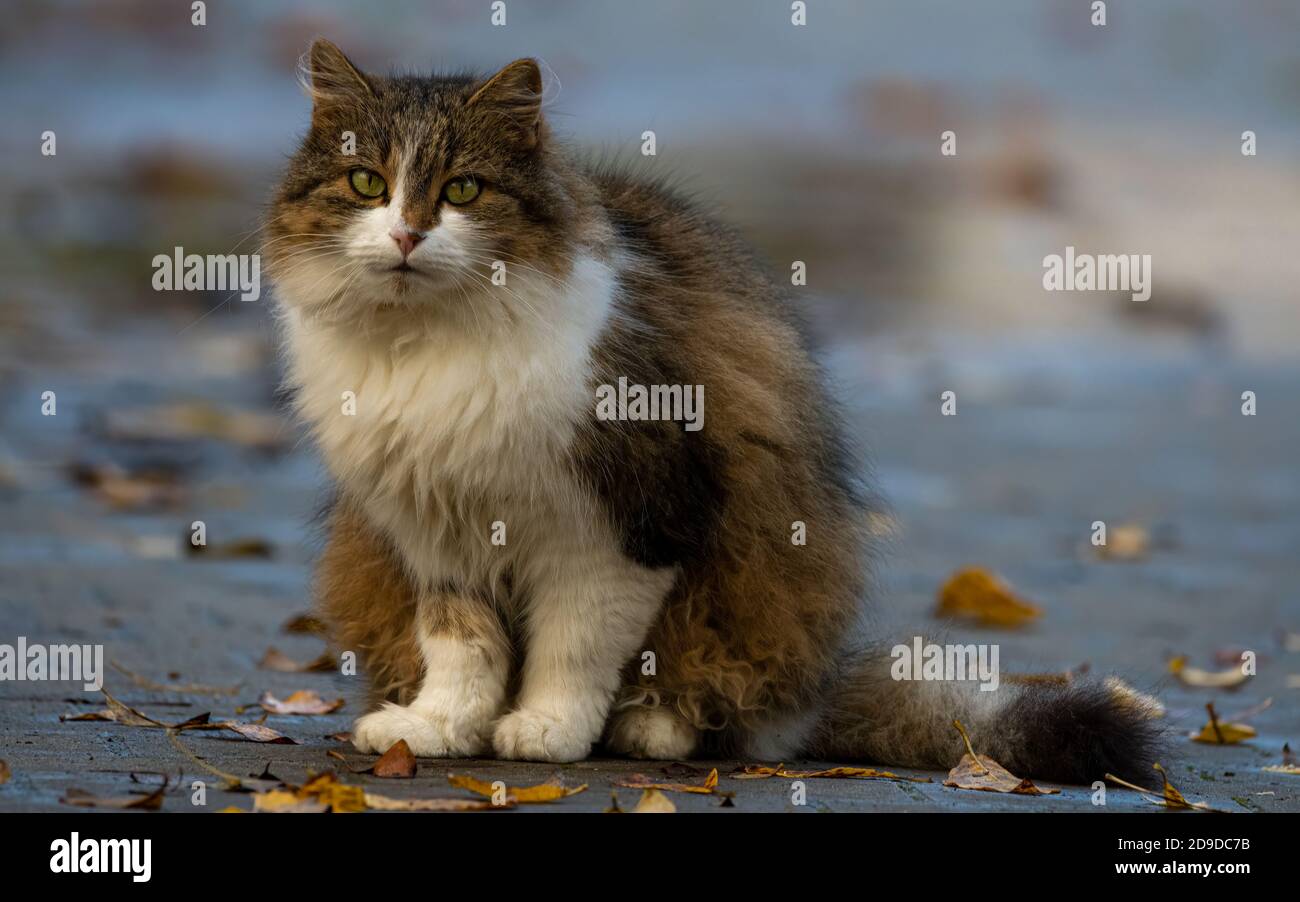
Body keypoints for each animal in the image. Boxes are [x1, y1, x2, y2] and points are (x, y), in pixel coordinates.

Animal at [261, 38, 1159, 779]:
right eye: (368, 183)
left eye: (462, 190)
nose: (407, 236)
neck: (425, 344)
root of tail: (821, 687)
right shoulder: (435, 534)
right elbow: (461, 648)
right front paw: (442, 728)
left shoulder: (622, 525)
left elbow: (573, 647)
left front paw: (548, 729)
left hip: (757, 583)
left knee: (728, 704)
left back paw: (651, 727)